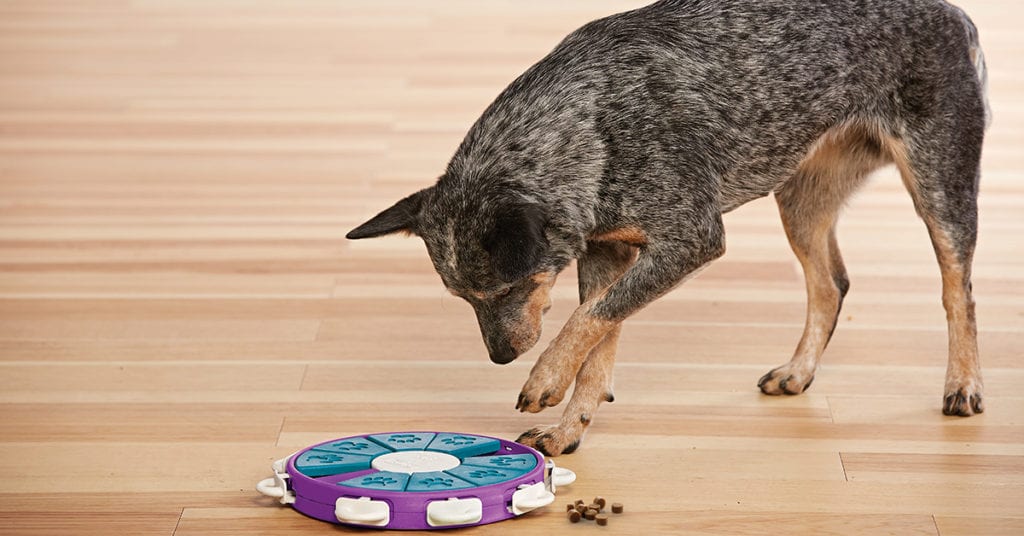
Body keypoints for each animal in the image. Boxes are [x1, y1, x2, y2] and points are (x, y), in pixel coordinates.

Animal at [348, 0, 987, 457]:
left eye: (510, 289)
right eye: (462, 299)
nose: (501, 358)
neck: (590, 121)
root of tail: (952, 11)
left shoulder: (691, 239)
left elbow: (589, 319)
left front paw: (545, 378)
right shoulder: (605, 252)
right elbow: (597, 335)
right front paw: (568, 430)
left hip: (940, 186)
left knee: (958, 291)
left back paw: (963, 384)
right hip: (800, 200)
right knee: (830, 284)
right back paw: (798, 372)